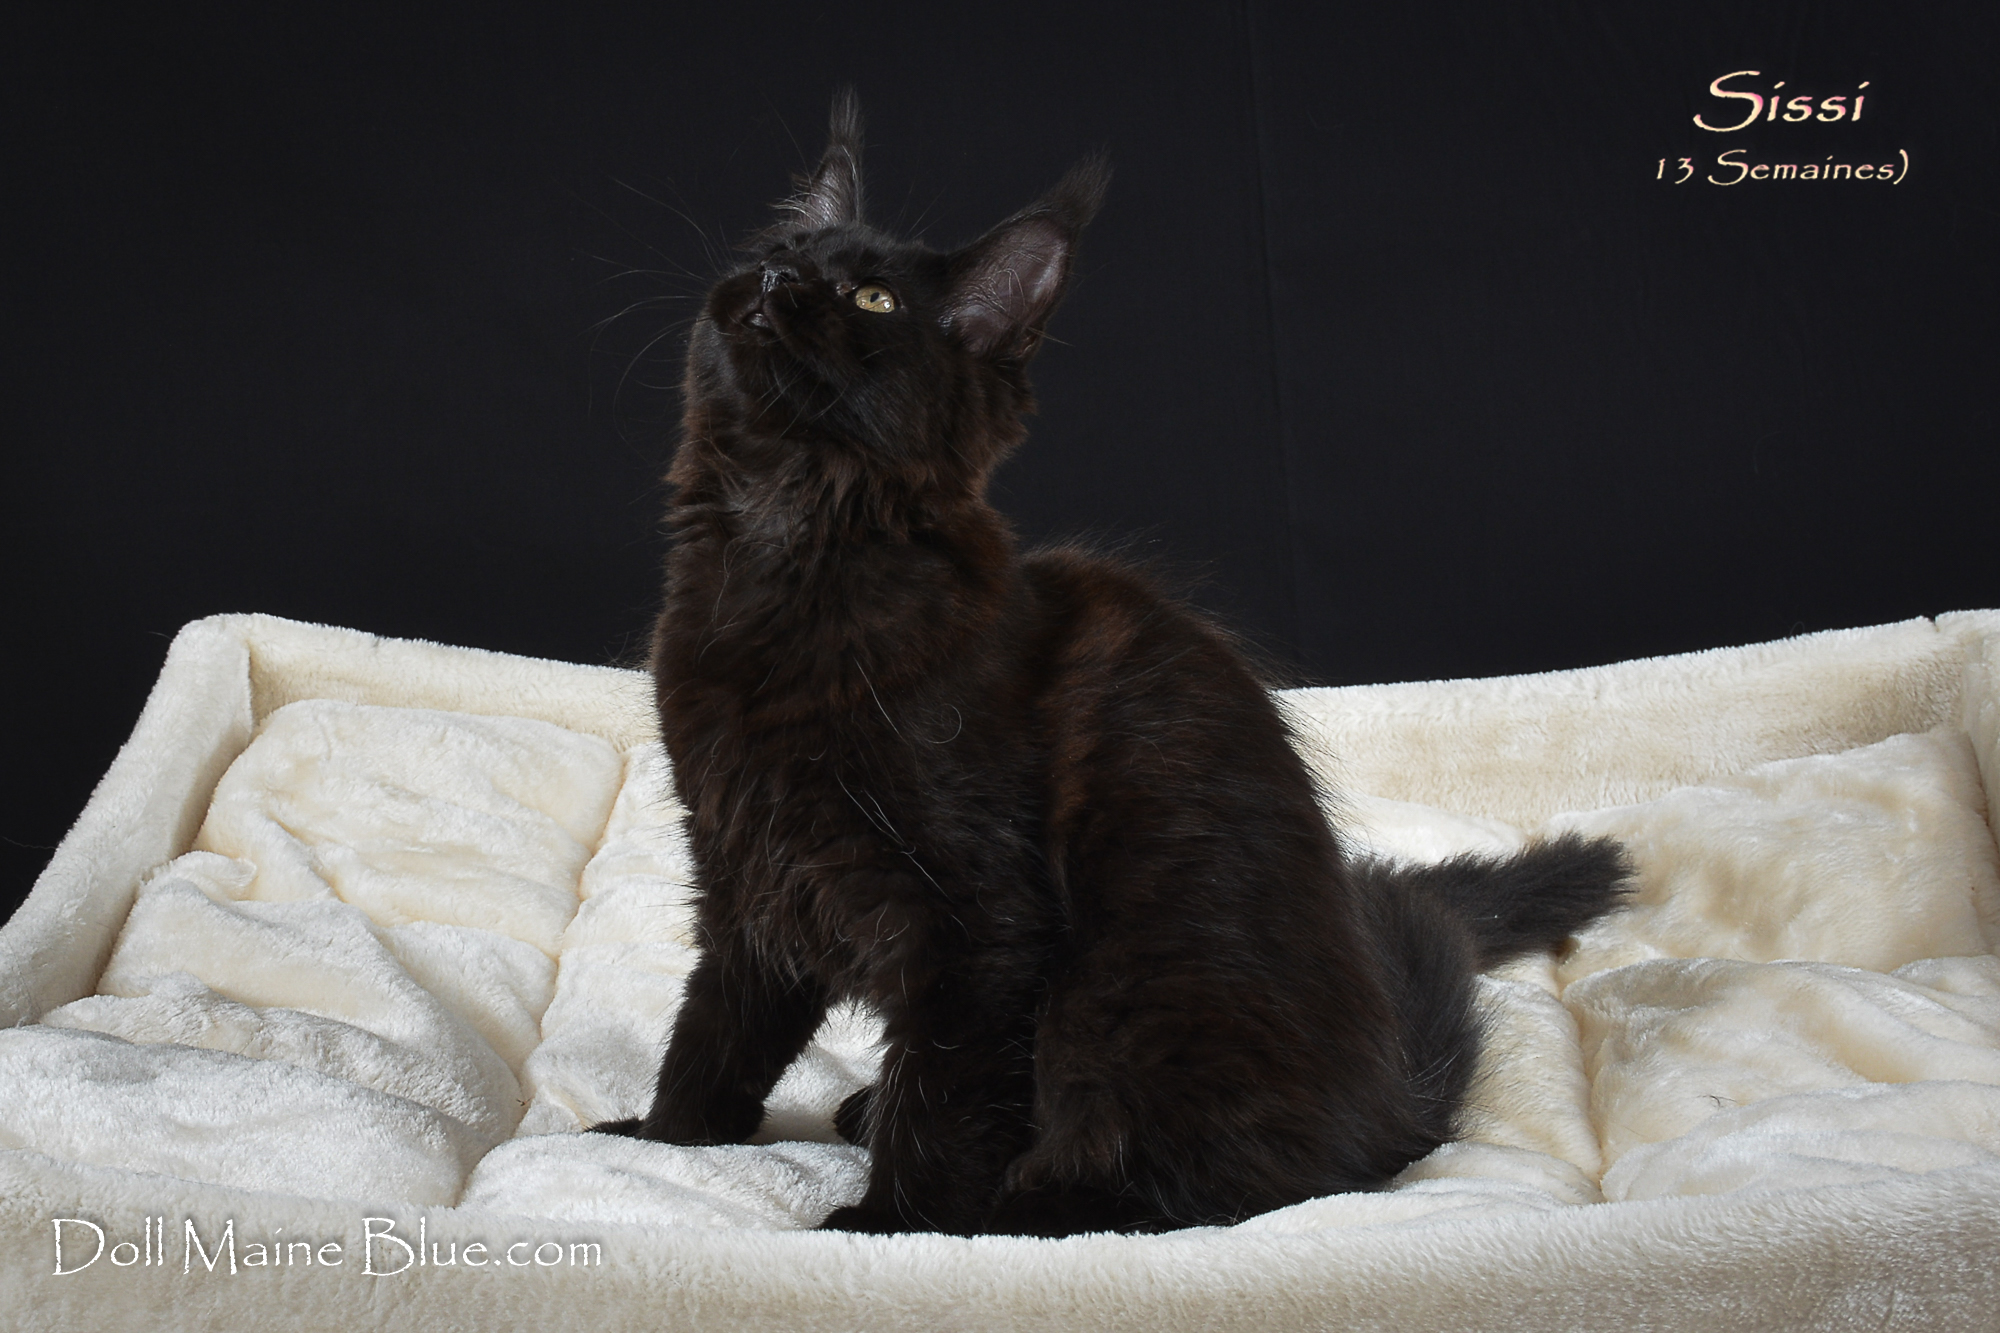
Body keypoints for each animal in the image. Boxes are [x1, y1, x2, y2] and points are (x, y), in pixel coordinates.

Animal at [592, 92, 1631, 1237]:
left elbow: (944, 1092)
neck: (778, 550)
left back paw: (1012, 1193)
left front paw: (888, 1224)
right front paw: (658, 1142)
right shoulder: (743, 871)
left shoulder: (972, 918)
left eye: (871, 298)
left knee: (1173, 1181)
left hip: (1126, 1007)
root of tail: (1390, 1111)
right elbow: (715, 1033)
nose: (778, 283)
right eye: (778, 253)